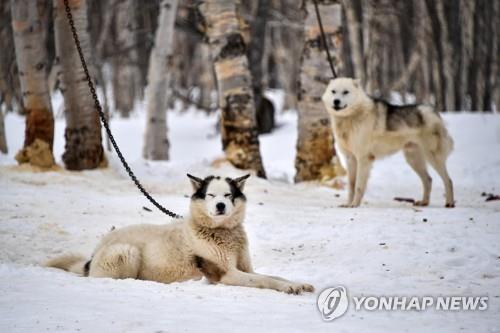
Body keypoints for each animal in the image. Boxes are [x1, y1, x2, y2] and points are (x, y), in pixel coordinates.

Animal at [45, 174, 314, 294]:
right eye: (210, 195)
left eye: (228, 195)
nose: (220, 206)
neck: (220, 233)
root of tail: (96, 250)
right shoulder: (227, 275)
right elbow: (266, 281)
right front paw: (289, 288)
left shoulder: (245, 268)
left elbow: (274, 276)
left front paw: (297, 283)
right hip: (126, 252)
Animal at [322, 78, 456, 208]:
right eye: (333, 91)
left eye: (345, 92)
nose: (336, 101)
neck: (350, 118)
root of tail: (433, 112)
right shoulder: (350, 159)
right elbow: (351, 186)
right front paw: (348, 204)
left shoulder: (363, 159)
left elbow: (358, 186)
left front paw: (355, 204)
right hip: (413, 160)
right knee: (428, 179)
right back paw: (424, 202)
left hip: (433, 158)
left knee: (448, 180)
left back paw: (449, 203)